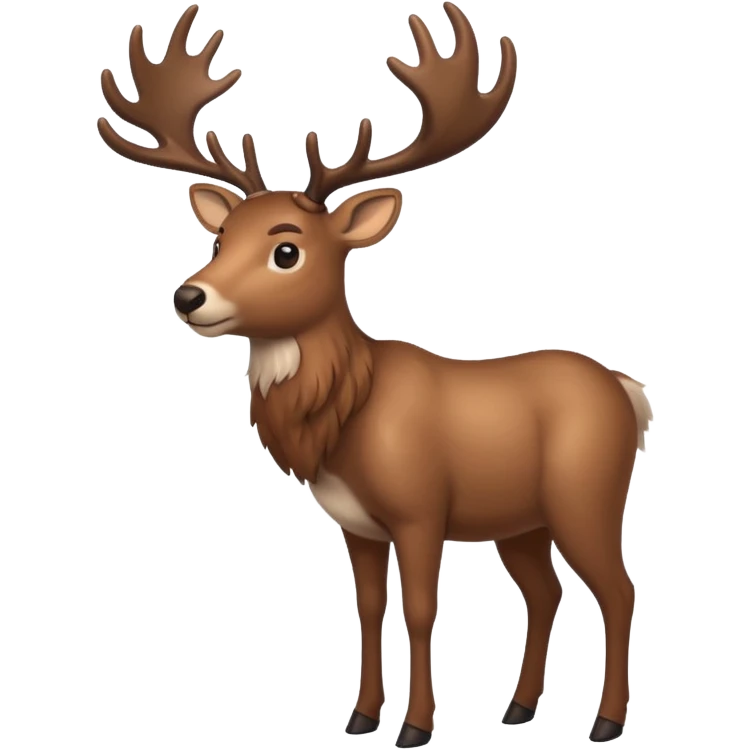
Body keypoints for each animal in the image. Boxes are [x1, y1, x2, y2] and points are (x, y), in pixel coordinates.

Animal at [97, 3, 651, 746]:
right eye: (220, 237)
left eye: (286, 250)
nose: (189, 296)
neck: (346, 414)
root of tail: (628, 389)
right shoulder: (356, 523)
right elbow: (365, 608)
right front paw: (360, 717)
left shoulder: (420, 508)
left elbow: (419, 609)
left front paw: (414, 726)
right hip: (521, 522)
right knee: (546, 591)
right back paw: (517, 708)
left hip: (586, 495)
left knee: (618, 590)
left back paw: (606, 721)